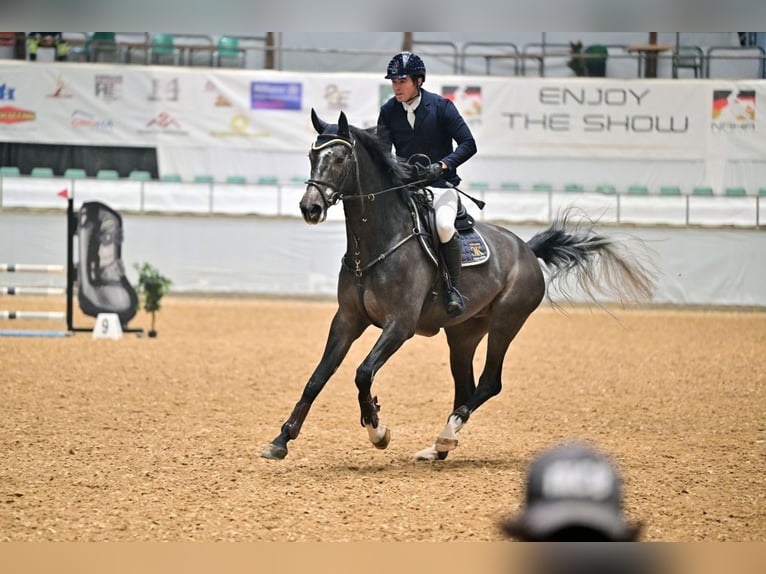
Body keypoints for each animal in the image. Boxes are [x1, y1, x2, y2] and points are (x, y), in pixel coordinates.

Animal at [260, 110, 656, 464]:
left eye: (340, 158)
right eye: (312, 156)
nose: (310, 207)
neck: (376, 242)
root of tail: (527, 249)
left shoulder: (400, 324)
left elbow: (363, 373)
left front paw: (377, 429)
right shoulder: (346, 320)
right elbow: (317, 378)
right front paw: (281, 440)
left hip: (505, 322)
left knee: (489, 383)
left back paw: (446, 436)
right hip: (463, 334)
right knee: (466, 386)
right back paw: (437, 448)